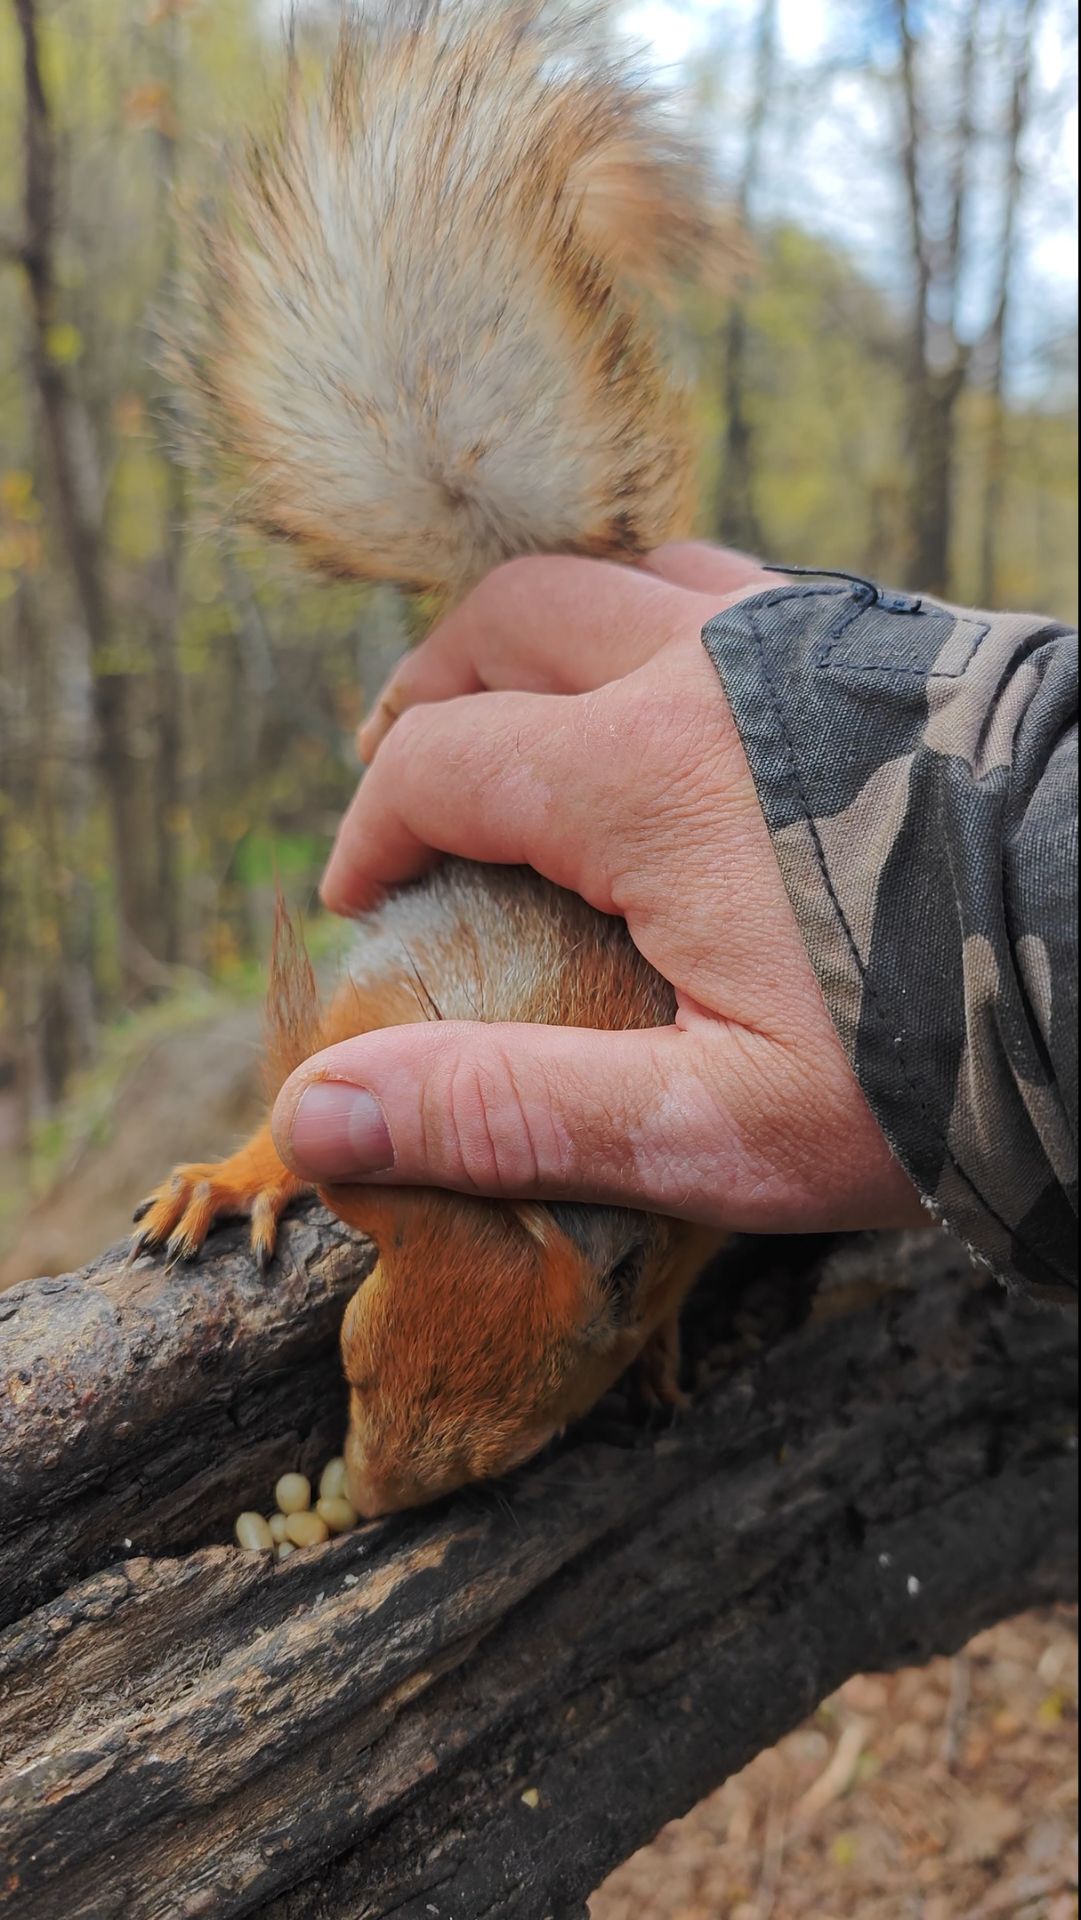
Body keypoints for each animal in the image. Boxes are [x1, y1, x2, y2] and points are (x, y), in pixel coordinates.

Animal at [133, 4, 738, 1520]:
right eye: (348, 1360)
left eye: (505, 1454)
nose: (372, 1494)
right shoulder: (368, 1014)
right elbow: (295, 1109)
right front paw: (242, 1174)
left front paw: (659, 1351)